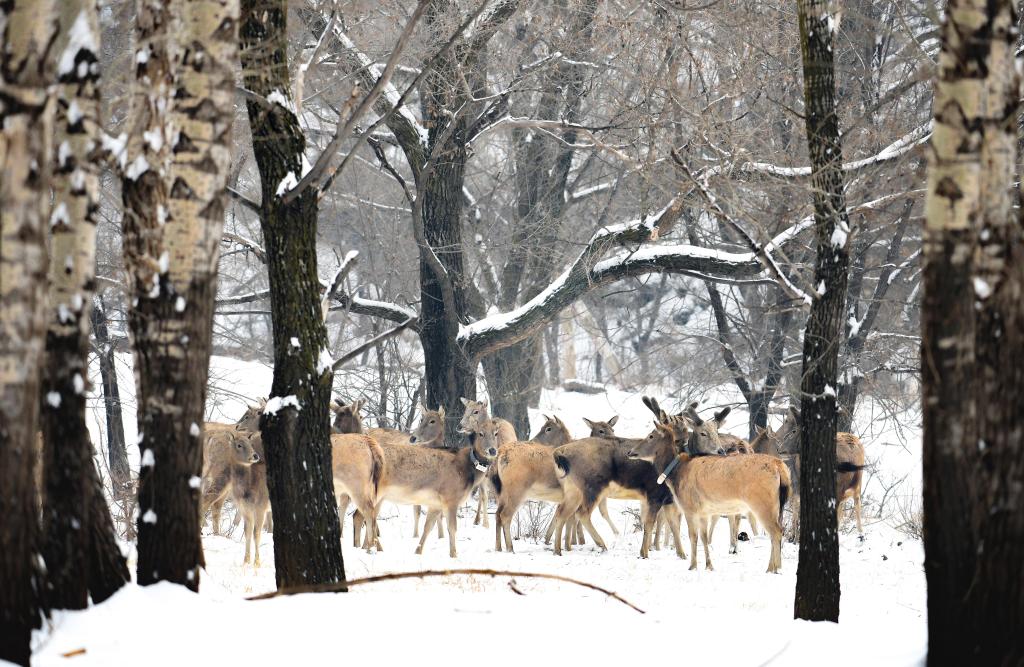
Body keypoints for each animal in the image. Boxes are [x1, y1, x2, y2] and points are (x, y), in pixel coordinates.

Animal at [376, 420, 503, 557]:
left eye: (496, 433)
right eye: (480, 433)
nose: (492, 450)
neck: (467, 473)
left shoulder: (435, 503)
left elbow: (428, 527)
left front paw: (417, 551)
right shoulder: (451, 498)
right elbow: (452, 528)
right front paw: (453, 554)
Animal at [622, 422, 790, 573]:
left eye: (650, 436)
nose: (630, 452)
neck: (676, 475)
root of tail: (780, 467)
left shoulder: (689, 507)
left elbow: (693, 536)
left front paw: (692, 566)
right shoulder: (703, 511)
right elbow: (703, 537)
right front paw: (709, 566)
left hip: (763, 503)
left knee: (776, 531)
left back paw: (773, 568)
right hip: (778, 505)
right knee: (777, 530)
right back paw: (775, 567)